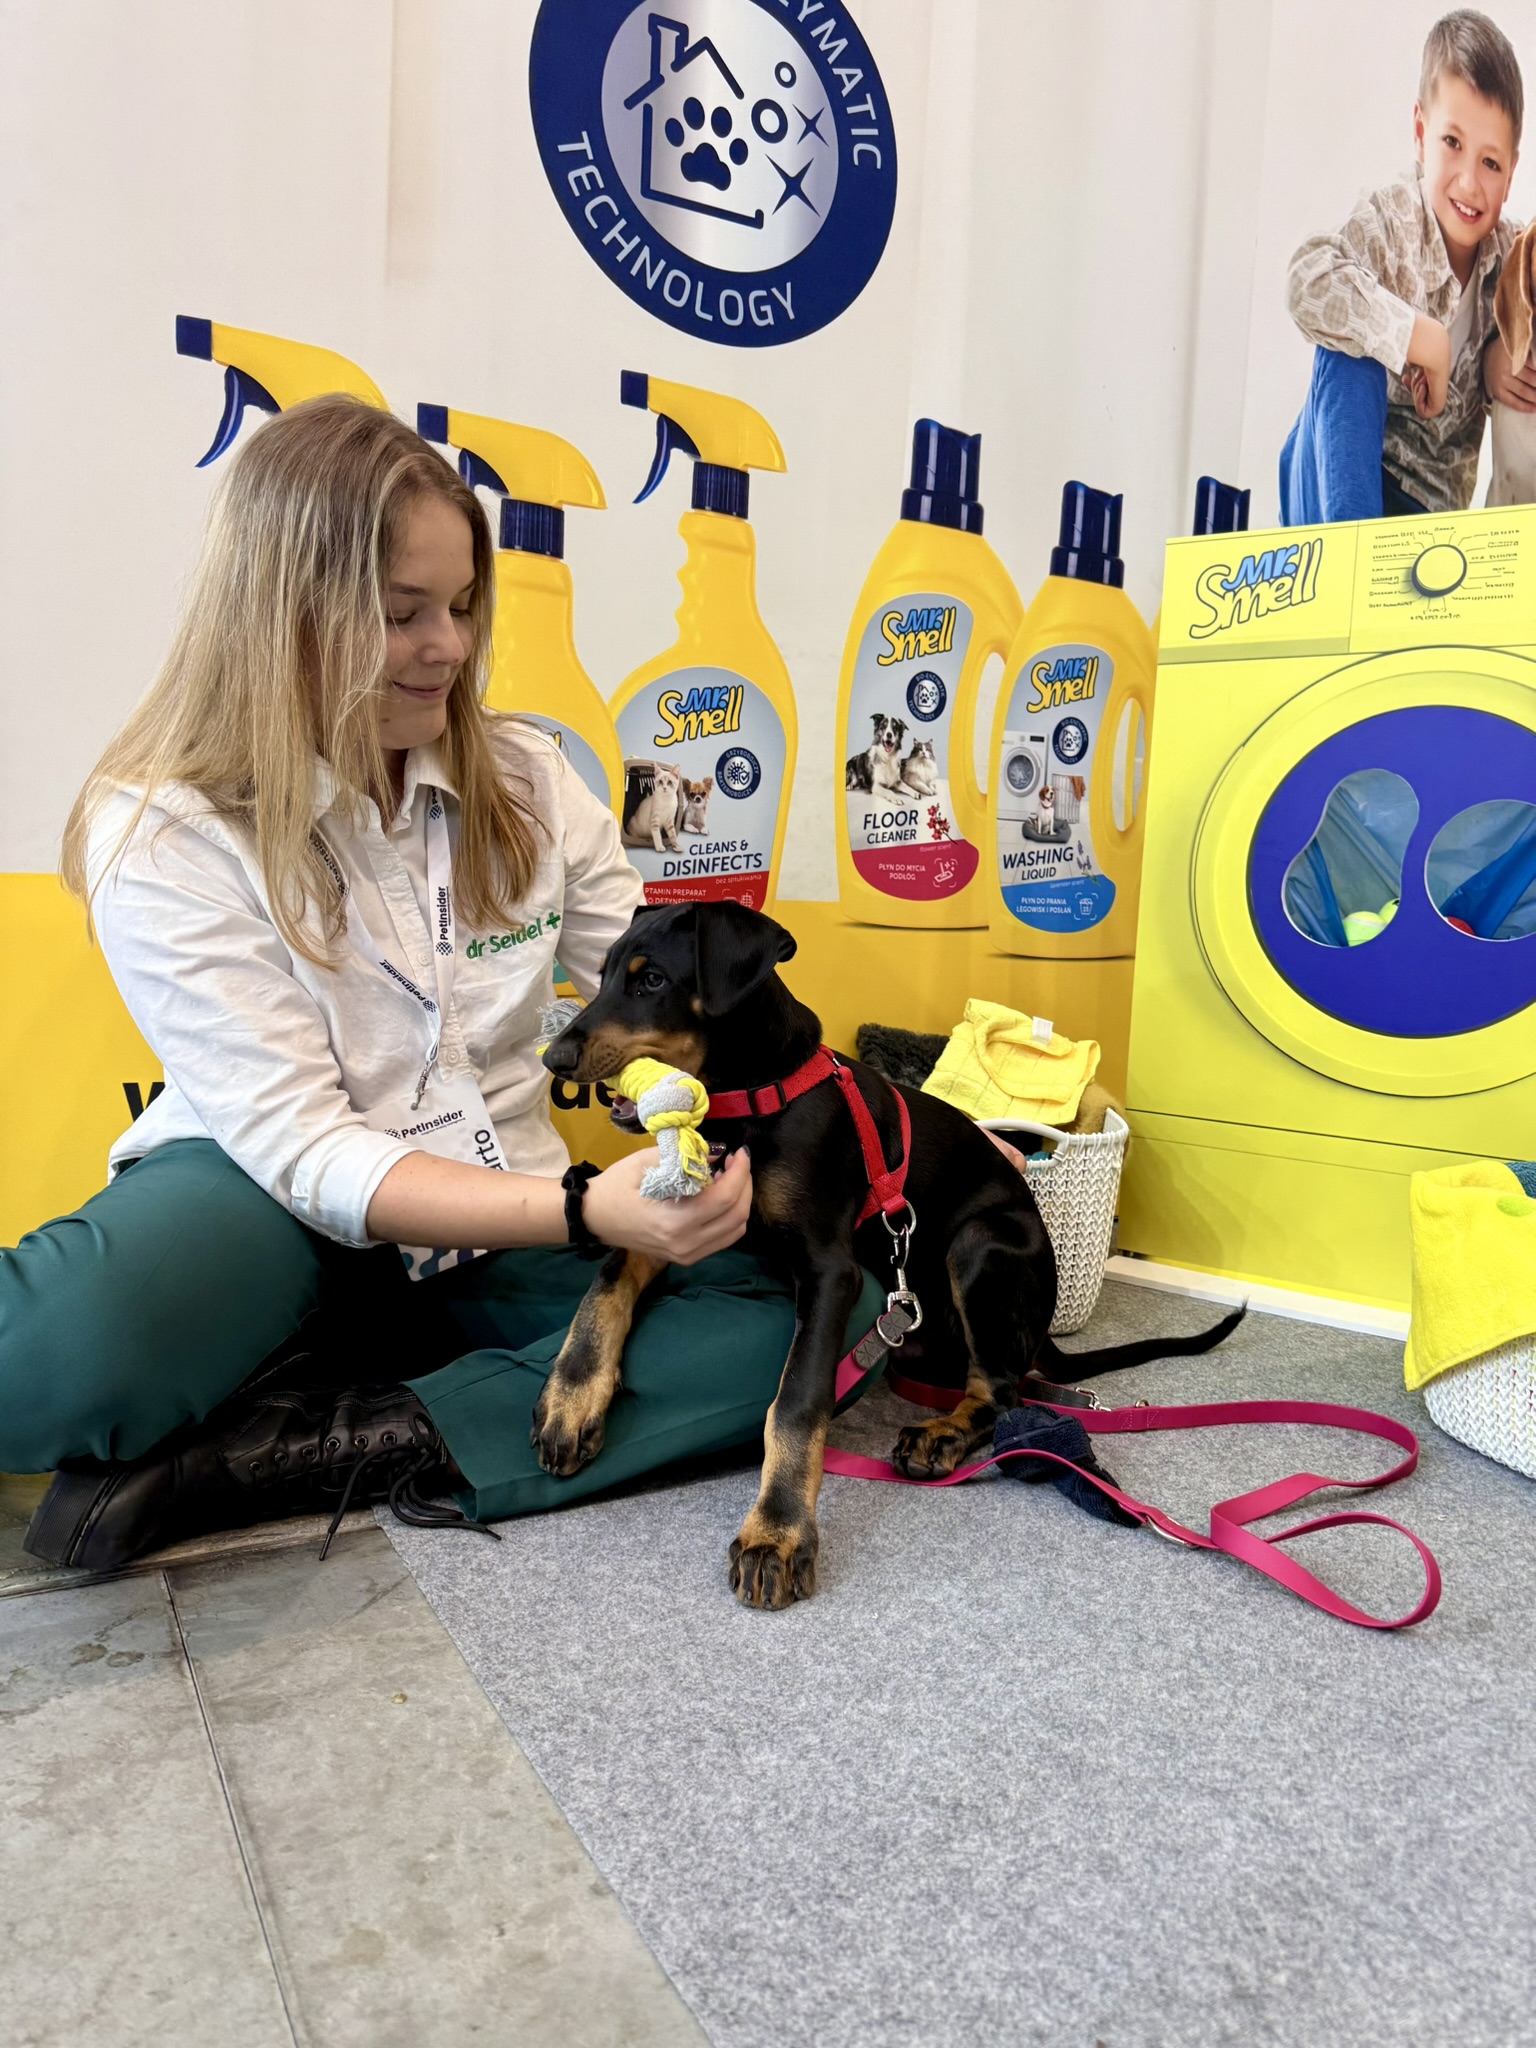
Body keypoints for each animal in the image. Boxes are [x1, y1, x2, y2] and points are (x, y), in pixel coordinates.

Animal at [540, 902, 1242, 1610]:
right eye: (601, 974)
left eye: (652, 979)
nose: (555, 1059)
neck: (753, 1102)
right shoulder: (679, 1223)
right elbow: (606, 1282)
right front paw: (569, 1401)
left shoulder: (830, 1271)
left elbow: (796, 1400)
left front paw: (777, 1534)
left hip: (980, 1245)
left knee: (1004, 1390)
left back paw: (943, 1435)